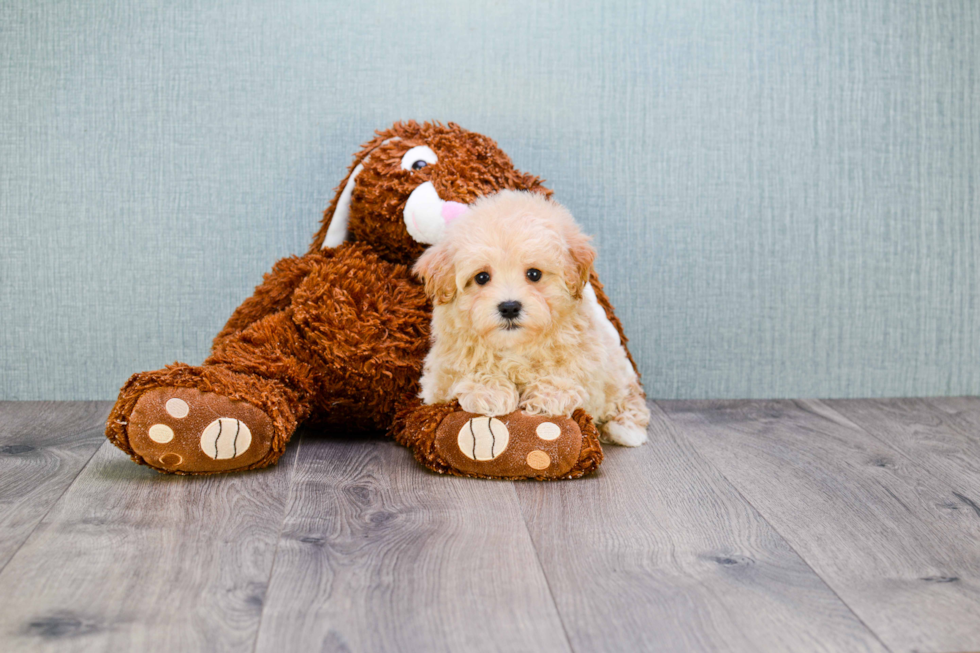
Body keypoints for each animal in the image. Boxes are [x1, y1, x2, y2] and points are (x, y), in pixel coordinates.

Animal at [414, 186, 652, 446]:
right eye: (481, 277)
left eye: (534, 274)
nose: (509, 307)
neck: (515, 346)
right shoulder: (439, 377)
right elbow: (462, 373)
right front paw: (490, 391)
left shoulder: (589, 361)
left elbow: (570, 373)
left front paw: (549, 396)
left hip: (619, 371)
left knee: (628, 399)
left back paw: (625, 428)